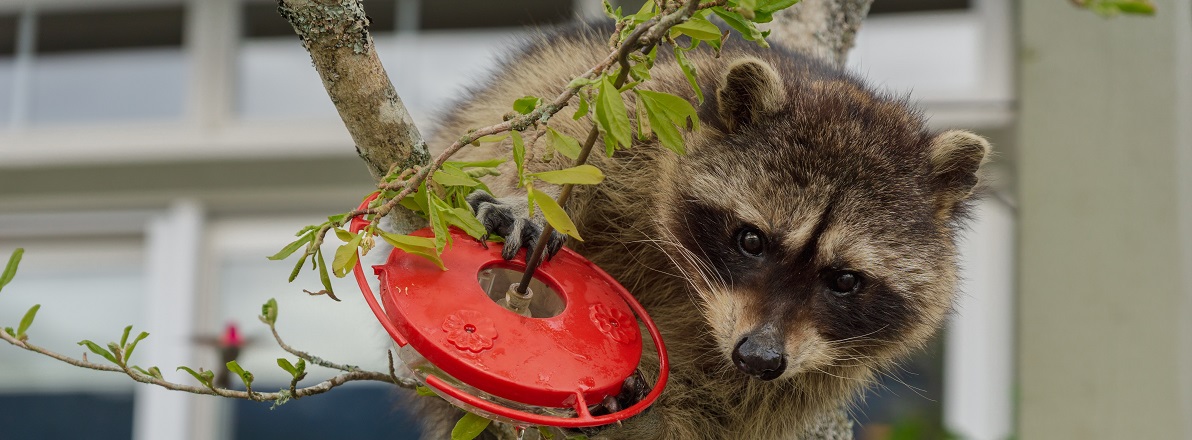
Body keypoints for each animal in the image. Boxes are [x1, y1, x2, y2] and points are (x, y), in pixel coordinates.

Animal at [415, 22, 990, 440]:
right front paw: (529, 199)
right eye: (752, 240)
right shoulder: (658, 108)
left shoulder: (813, 372)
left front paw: (655, 414)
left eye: (845, 280)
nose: (758, 357)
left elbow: (720, 411)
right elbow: (571, 139)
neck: (697, 300)